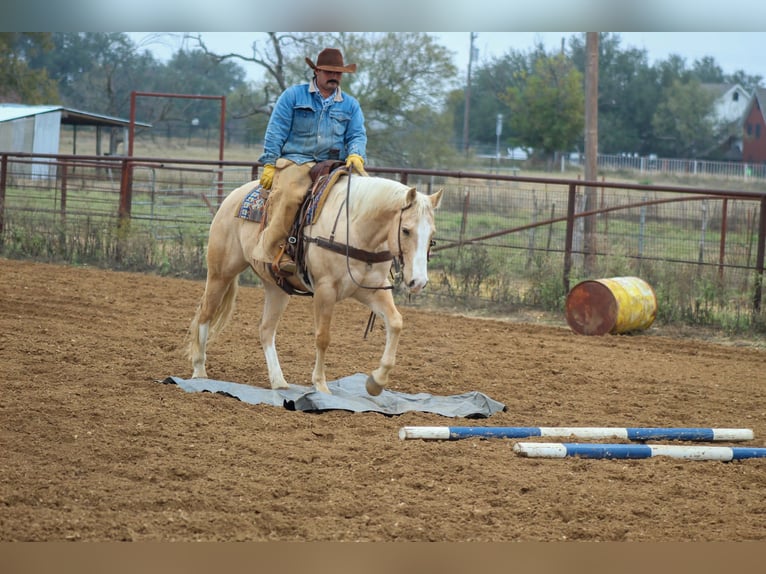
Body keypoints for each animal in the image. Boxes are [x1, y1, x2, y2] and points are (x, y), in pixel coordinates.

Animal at [187, 172, 443, 396]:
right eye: (406, 230)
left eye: (432, 235)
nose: (418, 281)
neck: (355, 227)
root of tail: (233, 196)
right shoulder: (325, 290)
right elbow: (323, 337)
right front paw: (320, 385)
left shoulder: (370, 290)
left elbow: (396, 322)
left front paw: (376, 382)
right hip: (220, 273)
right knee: (205, 314)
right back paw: (199, 370)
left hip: (276, 288)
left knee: (266, 330)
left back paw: (279, 381)